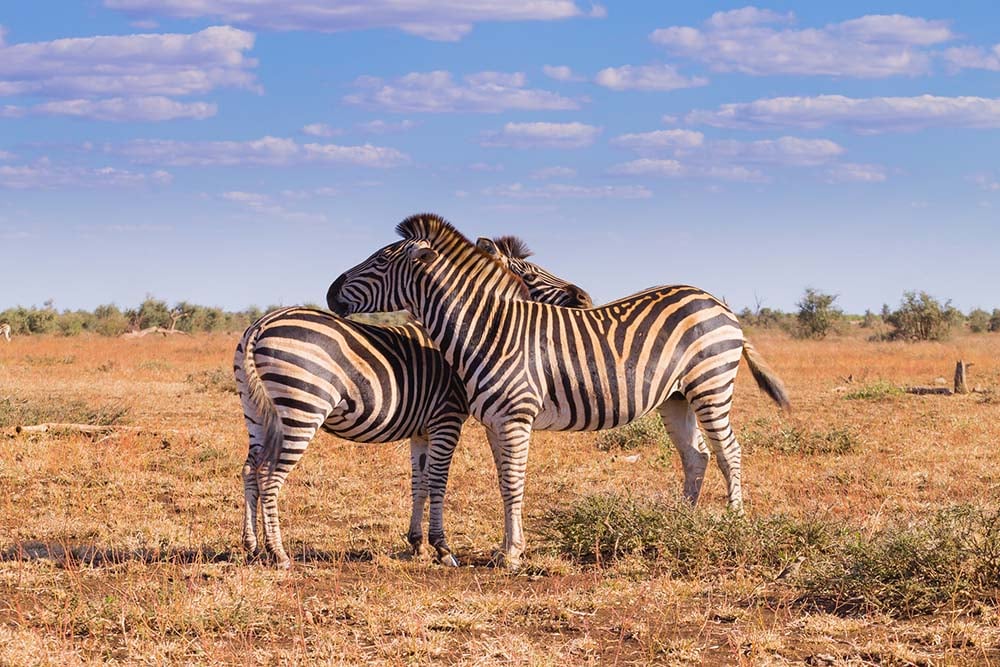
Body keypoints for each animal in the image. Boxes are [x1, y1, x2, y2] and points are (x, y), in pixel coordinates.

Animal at [237, 240, 588, 568]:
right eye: (529, 274)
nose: (583, 297)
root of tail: (262, 323)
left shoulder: (421, 428)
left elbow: (419, 482)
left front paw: (417, 543)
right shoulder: (446, 417)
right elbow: (437, 481)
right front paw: (442, 548)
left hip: (257, 413)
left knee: (250, 470)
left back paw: (251, 546)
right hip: (302, 408)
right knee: (269, 475)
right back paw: (278, 553)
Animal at [328, 214, 788, 568]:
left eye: (380, 259)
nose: (331, 291)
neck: (488, 328)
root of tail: (717, 302)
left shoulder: (515, 417)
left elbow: (513, 482)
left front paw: (512, 554)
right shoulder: (495, 422)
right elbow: (503, 482)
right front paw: (505, 547)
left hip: (711, 385)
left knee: (729, 452)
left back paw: (733, 522)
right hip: (676, 397)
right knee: (696, 455)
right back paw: (682, 521)